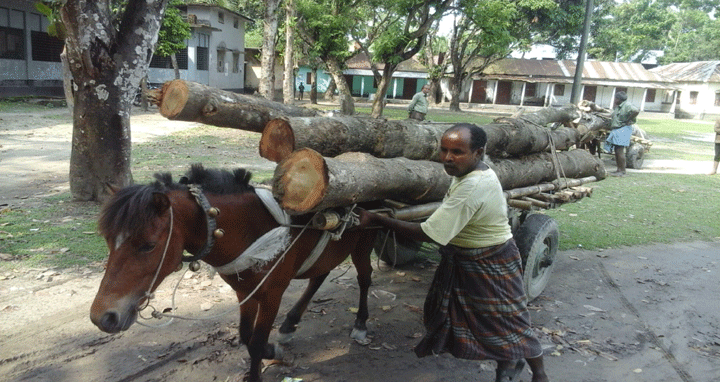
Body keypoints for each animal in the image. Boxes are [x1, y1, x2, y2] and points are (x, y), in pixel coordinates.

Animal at [91, 164, 376, 382]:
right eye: (107, 240)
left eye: (149, 245)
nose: (102, 317)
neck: (255, 228)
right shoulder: (244, 291)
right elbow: (246, 336)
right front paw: (273, 350)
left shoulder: (273, 294)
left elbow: (257, 342)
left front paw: (262, 363)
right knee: (319, 276)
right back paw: (290, 323)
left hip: (364, 242)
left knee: (364, 278)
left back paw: (360, 323)